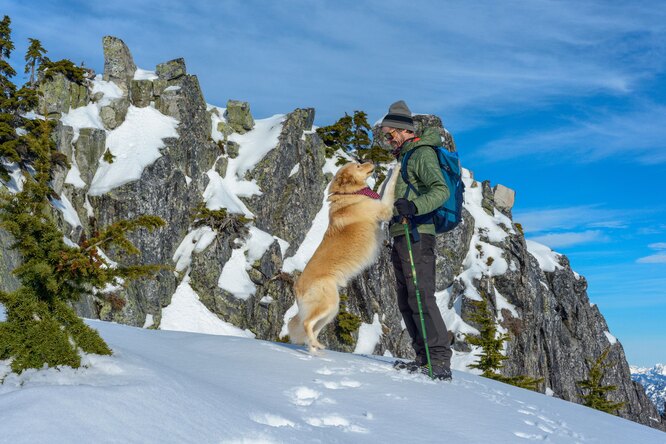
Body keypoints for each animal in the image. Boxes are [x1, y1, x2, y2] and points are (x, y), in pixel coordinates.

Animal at [286, 161, 400, 352]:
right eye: (359, 166)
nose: (372, 162)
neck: (350, 194)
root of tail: (296, 287)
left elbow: (383, 186)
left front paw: (389, 169)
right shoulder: (384, 209)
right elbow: (389, 187)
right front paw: (396, 168)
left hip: (331, 311)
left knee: (311, 331)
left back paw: (315, 350)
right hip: (329, 304)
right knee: (307, 324)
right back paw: (318, 346)